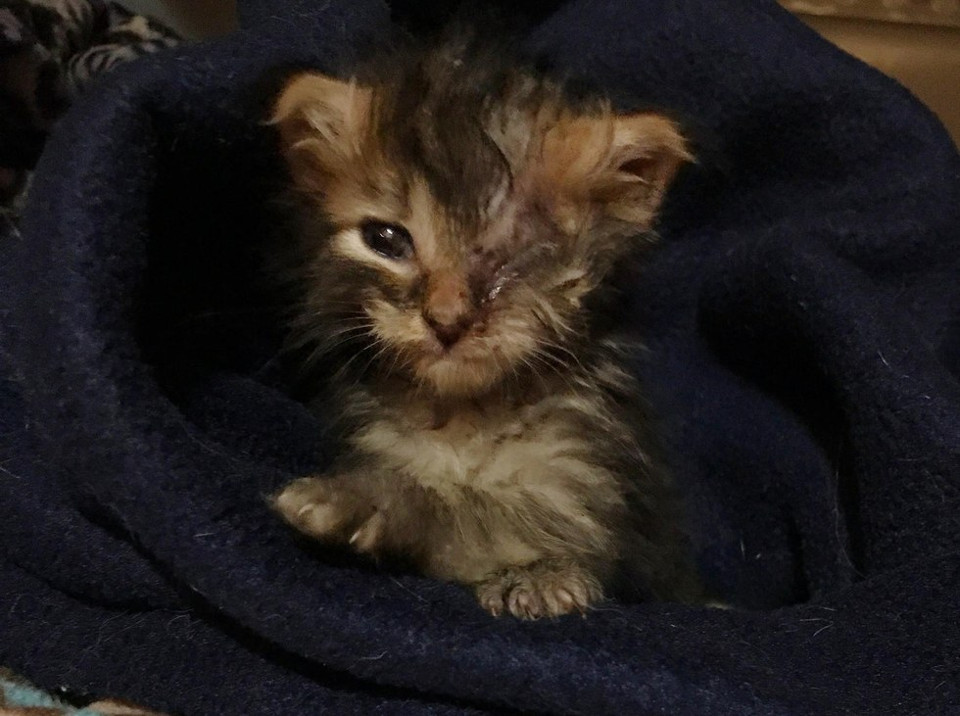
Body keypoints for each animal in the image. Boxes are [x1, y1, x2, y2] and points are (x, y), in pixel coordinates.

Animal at [266, 39, 700, 620]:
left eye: (512, 251)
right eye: (386, 240)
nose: (446, 321)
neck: (466, 417)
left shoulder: (590, 494)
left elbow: (485, 515)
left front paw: (361, 502)